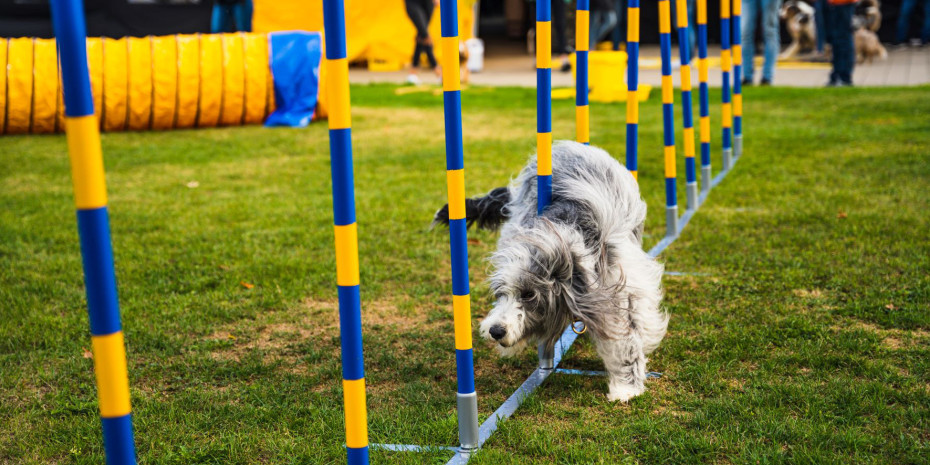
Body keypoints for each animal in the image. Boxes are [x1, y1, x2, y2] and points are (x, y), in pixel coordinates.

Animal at [436, 141, 668, 402]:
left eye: (529, 295)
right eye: (500, 294)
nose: (496, 331)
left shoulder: (620, 284)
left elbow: (625, 332)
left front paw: (626, 387)